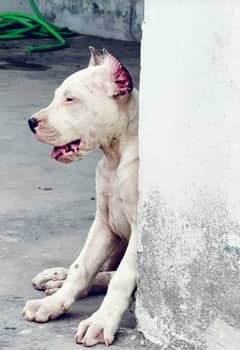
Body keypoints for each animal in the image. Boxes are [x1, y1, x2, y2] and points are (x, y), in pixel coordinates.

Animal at [24, 47, 139, 348]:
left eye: (71, 99)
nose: (31, 122)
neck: (115, 157)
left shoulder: (142, 230)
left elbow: (122, 279)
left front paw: (100, 322)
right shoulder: (104, 223)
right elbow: (82, 266)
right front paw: (52, 304)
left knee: (114, 275)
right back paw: (55, 279)